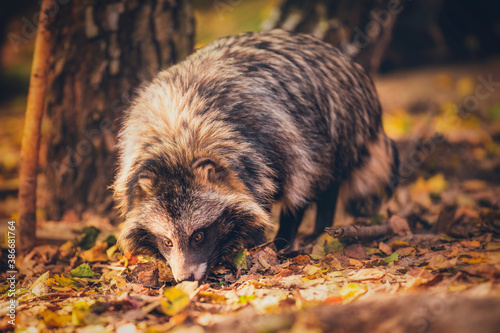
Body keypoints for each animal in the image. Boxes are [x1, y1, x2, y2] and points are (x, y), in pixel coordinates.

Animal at [114, 29, 398, 282]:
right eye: (167, 241)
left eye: (198, 235)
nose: (186, 279)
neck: (177, 143)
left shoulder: (272, 135)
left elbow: (276, 193)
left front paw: (262, 244)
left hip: (336, 125)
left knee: (317, 181)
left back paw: (308, 232)